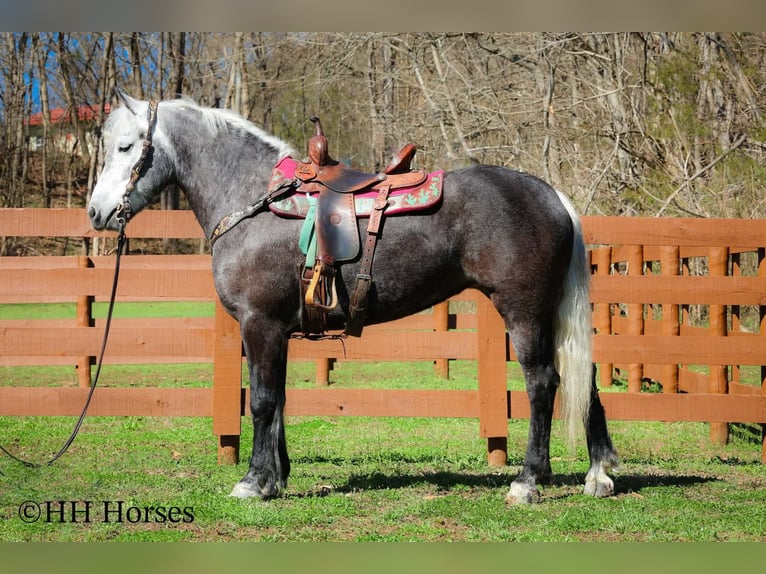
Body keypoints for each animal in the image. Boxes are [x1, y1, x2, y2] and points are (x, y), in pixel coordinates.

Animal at [88, 90, 619, 504]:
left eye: (125, 146)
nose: (96, 212)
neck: (253, 199)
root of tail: (553, 197)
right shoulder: (277, 331)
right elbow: (279, 401)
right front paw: (276, 477)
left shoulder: (259, 324)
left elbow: (261, 401)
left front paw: (253, 482)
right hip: (551, 315)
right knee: (584, 377)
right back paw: (598, 473)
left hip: (524, 312)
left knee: (542, 383)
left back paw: (528, 480)